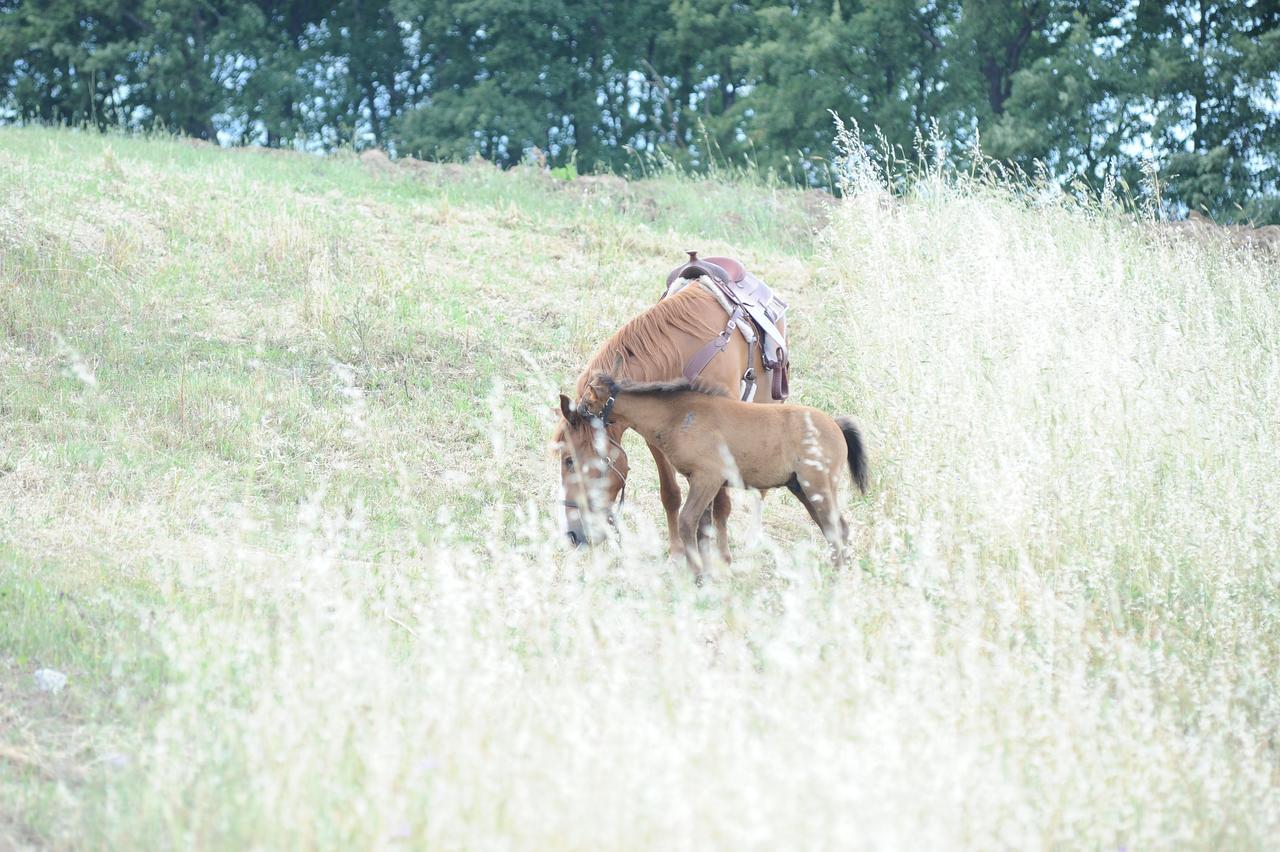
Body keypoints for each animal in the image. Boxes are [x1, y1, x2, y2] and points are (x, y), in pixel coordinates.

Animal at [555, 281, 783, 555]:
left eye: (569, 460)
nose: (572, 534)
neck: (679, 355)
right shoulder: (657, 438)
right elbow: (671, 494)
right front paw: (677, 551)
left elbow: (721, 504)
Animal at [570, 370, 870, 570]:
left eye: (588, 399)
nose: (576, 412)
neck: (679, 416)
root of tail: (835, 424)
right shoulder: (702, 483)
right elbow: (703, 526)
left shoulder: (707, 479)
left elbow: (688, 521)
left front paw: (697, 574)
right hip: (803, 489)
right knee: (833, 528)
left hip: (817, 487)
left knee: (837, 528)